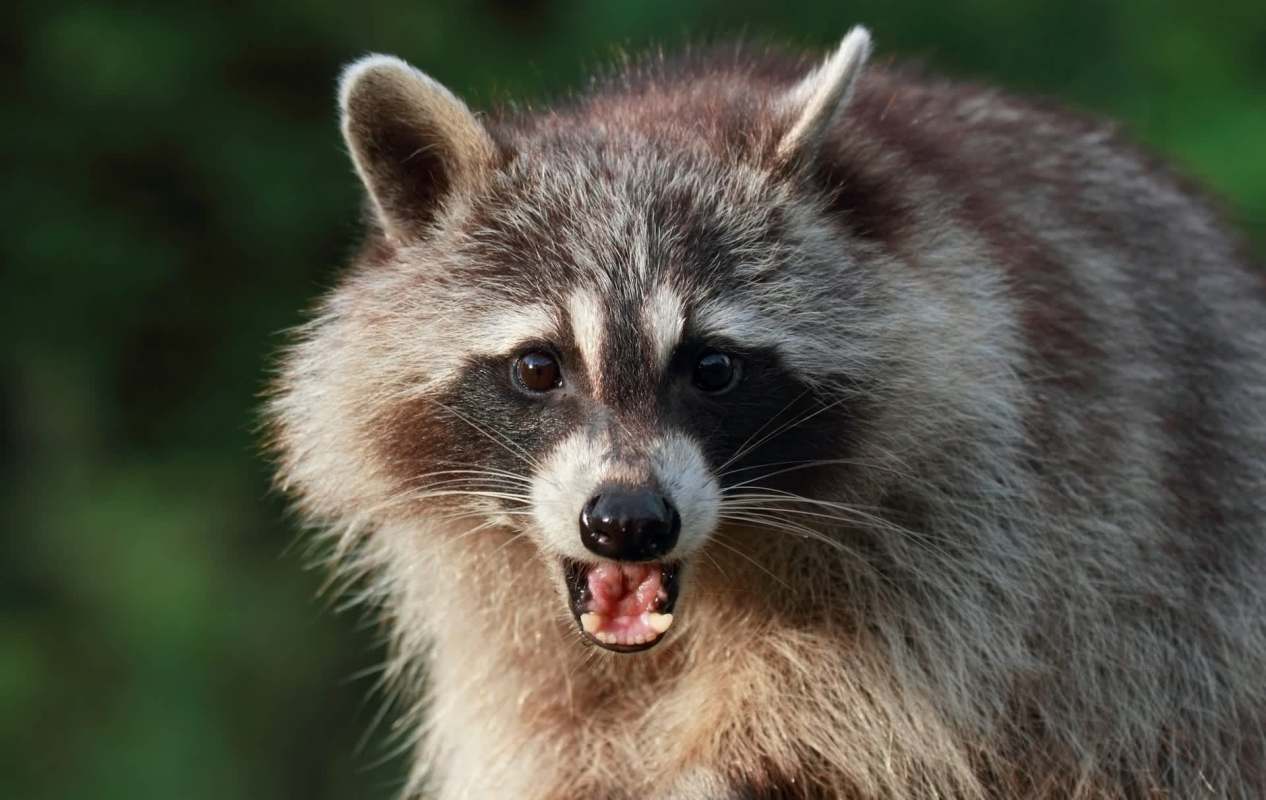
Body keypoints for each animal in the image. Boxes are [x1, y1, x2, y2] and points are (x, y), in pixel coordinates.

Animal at [266, 26, 1266, 799]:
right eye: (538, 368)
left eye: (713, 367)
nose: (627, 522)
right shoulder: (497, 627)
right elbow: (543, 728)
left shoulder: (997, 503)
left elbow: (856, 706)